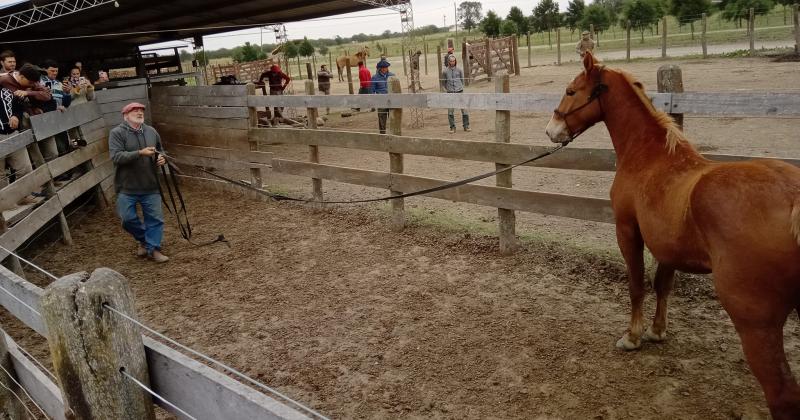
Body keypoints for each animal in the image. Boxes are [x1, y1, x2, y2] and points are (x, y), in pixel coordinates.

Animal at [544, 51, 800, 416]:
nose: (551, 130)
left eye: (570, 90)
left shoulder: (628, 231)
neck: (650, 157)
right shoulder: (666, 247)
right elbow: (662, 286)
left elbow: (637, 285)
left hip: (756, 323)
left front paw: (633, 337)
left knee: (782, 395)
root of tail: (792, 196)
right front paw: (656, 331)